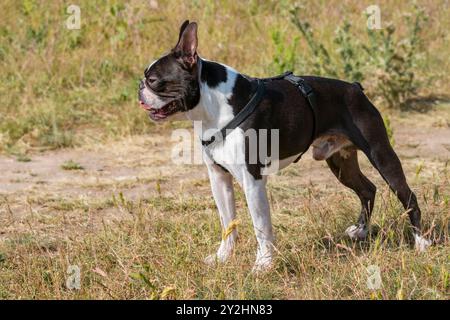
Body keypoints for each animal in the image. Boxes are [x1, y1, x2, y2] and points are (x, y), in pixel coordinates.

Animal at [138, 19, 432, 270]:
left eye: (154, 80)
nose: (139, 88)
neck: (213, 106)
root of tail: (355, 88)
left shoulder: (252, 180)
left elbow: (261, 226)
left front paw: (263, 265)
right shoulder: (219, 178)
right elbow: (227, 222)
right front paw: (223, 257)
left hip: (380, 153)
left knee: (407, 196)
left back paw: (421, 243)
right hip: (340, 163)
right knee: (368, 189)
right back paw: (360, 230)